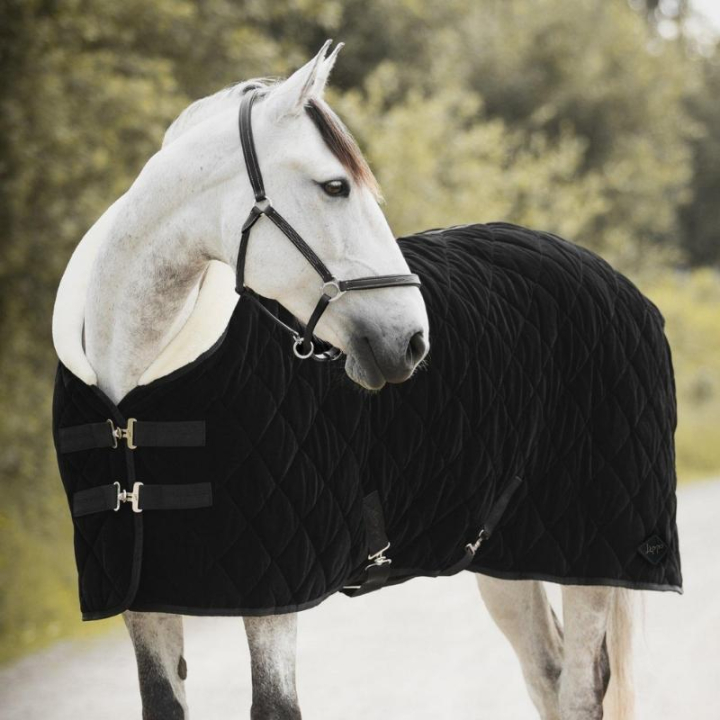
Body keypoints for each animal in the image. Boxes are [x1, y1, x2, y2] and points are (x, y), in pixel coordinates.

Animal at [51, 41, 675, 720]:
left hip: (591, 555)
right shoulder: (143, 594)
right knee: (548, 675)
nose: (413, 341)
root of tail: (608, 275)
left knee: (581, 689)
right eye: (335, 185)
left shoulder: (271, 592)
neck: (133, 400)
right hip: (506, 553)